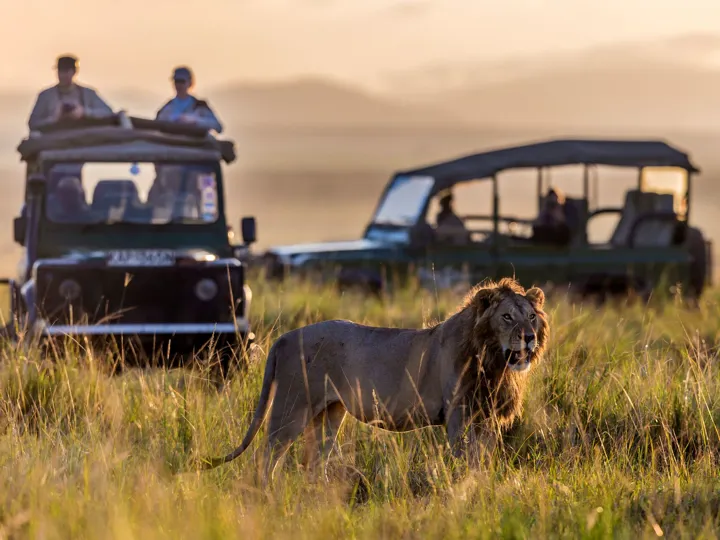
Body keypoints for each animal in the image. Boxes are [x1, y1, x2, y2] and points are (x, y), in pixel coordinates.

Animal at [200, 277, 549, 481]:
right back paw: (268, 496)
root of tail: (284, 337)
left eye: (531, 316)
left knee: (315, 461)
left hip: (329, 413)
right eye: (507, 317)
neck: (493, 361)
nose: (529, 338)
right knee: (267, 456)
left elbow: (485, 460)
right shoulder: (458, 416)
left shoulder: (486, 417)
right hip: (291, 407)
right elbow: (466, 461)